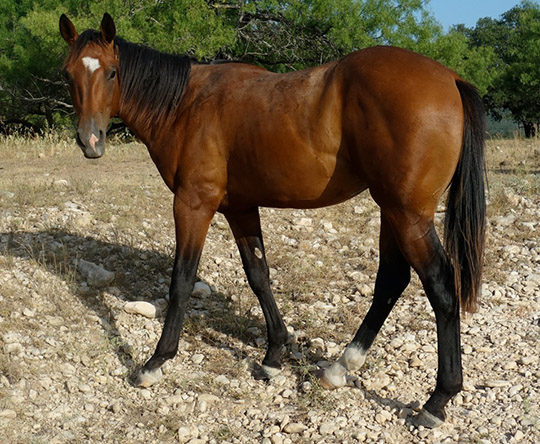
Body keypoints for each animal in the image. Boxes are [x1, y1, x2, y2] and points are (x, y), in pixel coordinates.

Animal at [59, 13, 486, 426]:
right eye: (68, 73)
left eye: (112, 72)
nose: (90, 141)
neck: (186, 105)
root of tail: (449, 77)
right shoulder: (241, 209)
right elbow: (259, 276)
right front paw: (274, 355)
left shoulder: (193, 204)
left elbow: (181, 281)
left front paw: (155, 362)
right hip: (391, 211)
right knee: (391, 280)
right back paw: (340, 367)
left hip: (407, 214)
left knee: (440, 286)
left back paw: (438, 399)